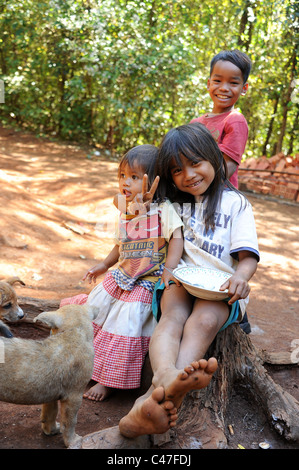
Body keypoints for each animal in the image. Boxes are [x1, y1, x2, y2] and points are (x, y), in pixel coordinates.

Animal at [0, 302, 96, 446]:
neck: (73, 333)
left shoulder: (51, 390)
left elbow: (50, 412)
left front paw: (51, 430)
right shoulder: (74, 394)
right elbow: (70, 422)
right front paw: (73, 441)